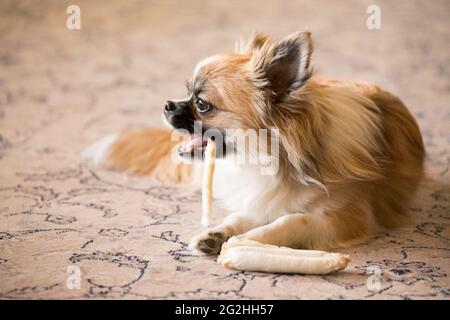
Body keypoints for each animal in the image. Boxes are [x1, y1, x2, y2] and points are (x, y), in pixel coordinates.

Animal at [82, 30, 424, 255]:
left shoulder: (344, 217)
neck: (266, 160)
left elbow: (293, 222)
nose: (167, 104)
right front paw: (217, 233)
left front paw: (249, 241)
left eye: (202, 104)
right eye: (187, 92)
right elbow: (241, 216)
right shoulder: (263, 195)